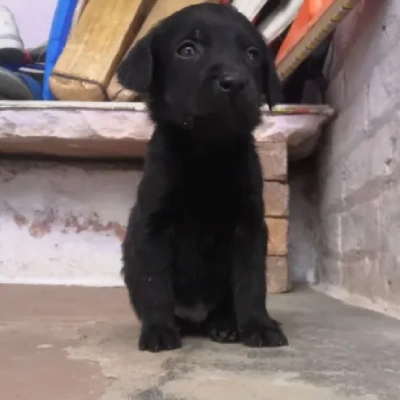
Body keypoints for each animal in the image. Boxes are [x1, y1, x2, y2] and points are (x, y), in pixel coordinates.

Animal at [117, 3, 290, 354]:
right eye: (187, 50)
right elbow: (155, 284)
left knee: (225, 305)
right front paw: (158, 330)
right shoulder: (153, 225)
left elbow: (252, 282)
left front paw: (259, 325)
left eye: (252, 55)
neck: (208, 153)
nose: (234, 82)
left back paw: (225, 325)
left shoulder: (249, 226)